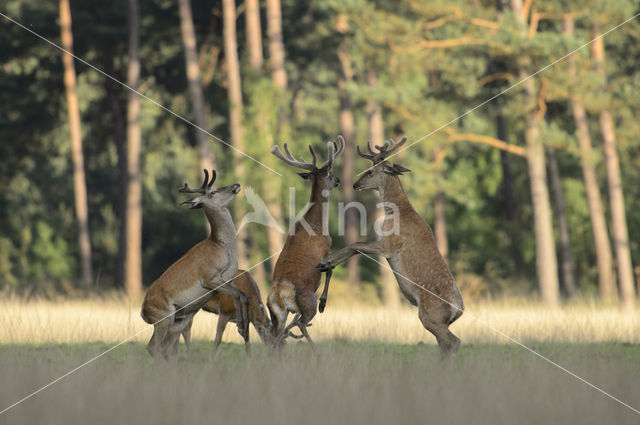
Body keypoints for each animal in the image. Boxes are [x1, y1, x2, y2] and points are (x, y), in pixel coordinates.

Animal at [141, 169, 249, 358]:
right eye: (213, 192)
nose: (235, 185)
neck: (222, 247)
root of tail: (143, 311)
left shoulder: (228, 280)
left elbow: (242, 295)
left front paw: (243, 328)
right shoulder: (210, 278)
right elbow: (238, 295)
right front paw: (242, 326)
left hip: (178, 319)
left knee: (164, 346)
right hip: (164, 319)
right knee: (154, 346)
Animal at [266, 136, 344, 352]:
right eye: (330, 173)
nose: (338, 180)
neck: (317, 223)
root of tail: (279, 294)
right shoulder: (326, 247)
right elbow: (330, 270)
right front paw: (324, 302)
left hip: (276, 314)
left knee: (275, 336)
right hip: (307, 301)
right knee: (301, 322)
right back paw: (315, 350)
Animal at [318, 138, 464, 358]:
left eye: (370, 171)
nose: (355, 184)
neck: (396, 211)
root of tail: (458, 310)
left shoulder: (388, 245)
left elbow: (355, 245)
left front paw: (326, 262)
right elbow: (355, 247)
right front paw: (327, 264)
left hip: (431, 315)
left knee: (453, 342)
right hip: (437, 320)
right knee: (445, 344)